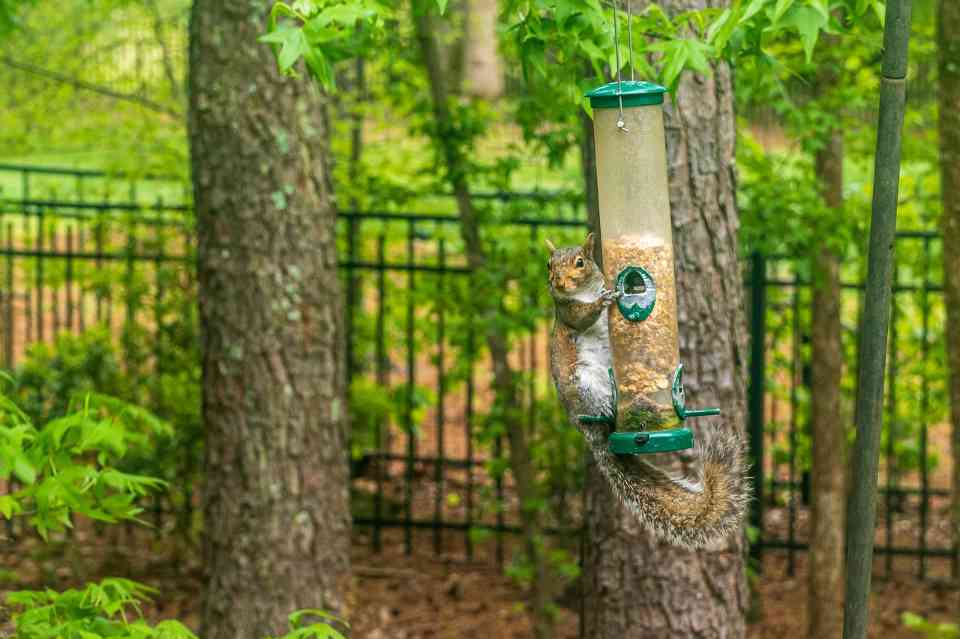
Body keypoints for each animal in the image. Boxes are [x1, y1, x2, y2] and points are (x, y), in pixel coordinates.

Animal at [547, 232, 750, 549]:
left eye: (579, 262)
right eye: (548, 265)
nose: (556, 282)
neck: (582, 292)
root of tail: (584, 427)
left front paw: (605, 295)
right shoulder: (568, 311)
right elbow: (582, 317)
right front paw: (604, 300)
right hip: (583, 383)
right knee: (596, 407)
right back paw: (606, 408)